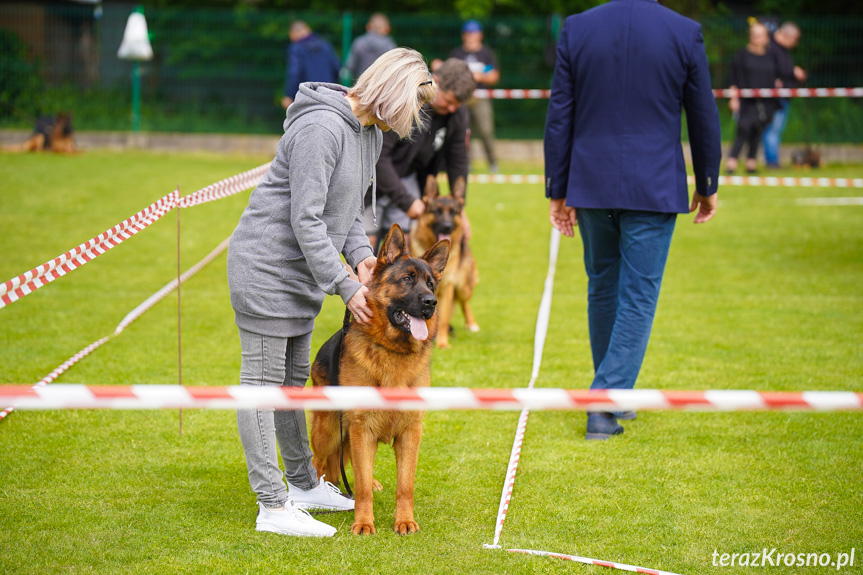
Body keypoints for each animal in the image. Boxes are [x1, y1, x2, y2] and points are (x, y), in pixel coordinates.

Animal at [310, 224, 448, 536]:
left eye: (431, 284)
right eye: (407, 279)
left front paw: (404, 521)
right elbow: (360, 487)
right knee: (321, 462)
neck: (392, 350)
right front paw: (363, 522)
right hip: (328, 430)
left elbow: (405, 485)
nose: (431, 303)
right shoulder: (363, 429)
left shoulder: (410, 433)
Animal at [410, 173, 480, 348]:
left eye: (454, 212)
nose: (447, 227)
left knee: (464, 302)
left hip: (462, 285)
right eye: (437, 211)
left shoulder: (448, 286)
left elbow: (442, 319)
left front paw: (442, 343)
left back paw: (472, 324)